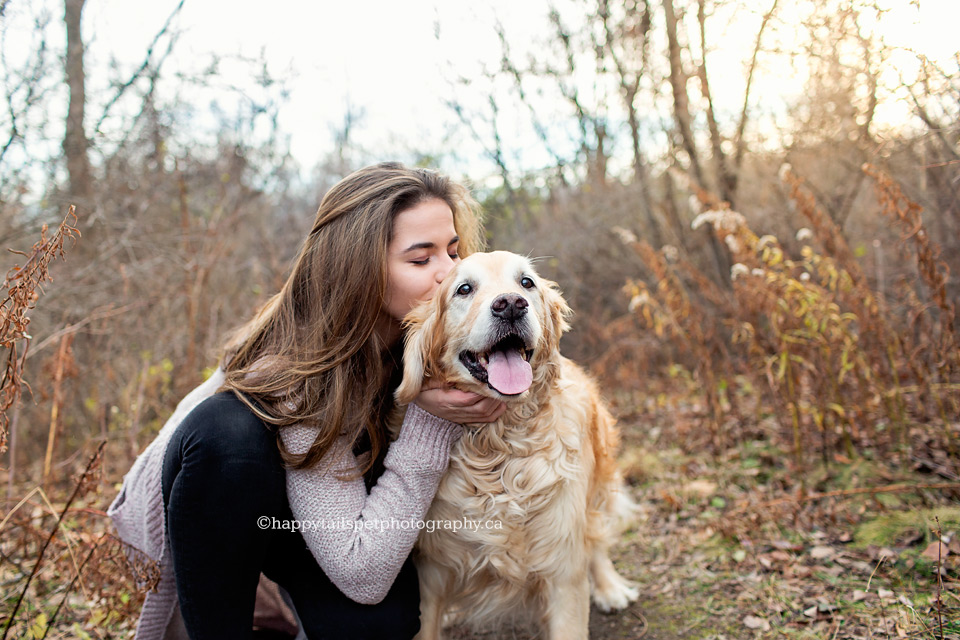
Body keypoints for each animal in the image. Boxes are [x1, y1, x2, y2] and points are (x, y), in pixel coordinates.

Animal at [394, 250, 640, 640]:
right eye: (464, 288)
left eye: (527, 282)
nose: (510, 305)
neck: (499, 446)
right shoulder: (431, 572)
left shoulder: (563, 570)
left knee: (596, 534)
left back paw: (610, 587)